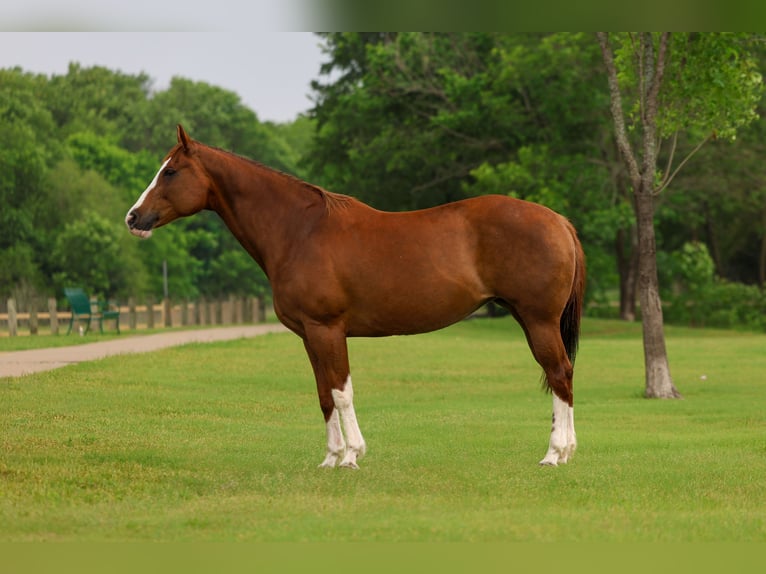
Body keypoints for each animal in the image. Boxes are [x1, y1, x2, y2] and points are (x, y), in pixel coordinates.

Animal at [126, 125, 585, 469]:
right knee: (561, 375)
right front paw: (330, 458)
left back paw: (555, 454)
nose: (133, 217)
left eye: (170, 172)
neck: (298, 230)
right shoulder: (309, 334)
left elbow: (341, 390)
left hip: (538, 320)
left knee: (559, 373)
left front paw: (351, 456)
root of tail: (558, 221)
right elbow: (323, 393)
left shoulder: (327, 329)